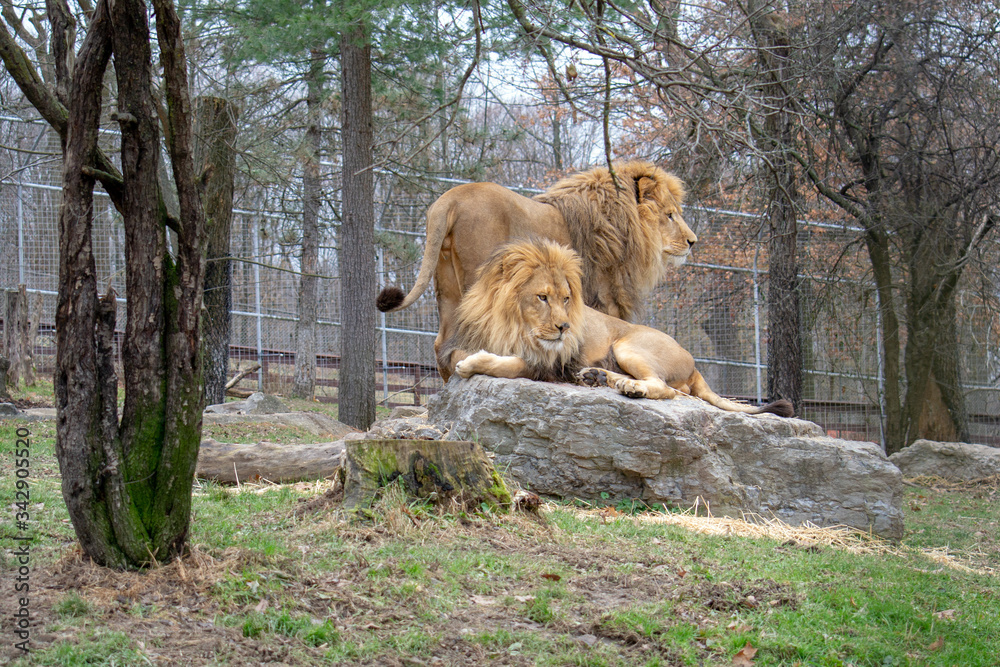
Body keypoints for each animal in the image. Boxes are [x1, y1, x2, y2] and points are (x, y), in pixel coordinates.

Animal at [377, 161, 698, 378]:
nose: (693, 241)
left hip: (446, 284)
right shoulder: (607, 300)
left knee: (441, 343)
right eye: (670, 214)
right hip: (478, 278)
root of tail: (449, 198)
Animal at [443, 240, 794, 418]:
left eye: (566, 298)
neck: (513, 325)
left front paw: (473, 364)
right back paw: (599, 377)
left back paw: (630, 387)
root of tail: (693, 364)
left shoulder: (550, 365)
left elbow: (511, 364)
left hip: (629, 345)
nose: (564, 327)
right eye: (542, 297)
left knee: (665, 388)